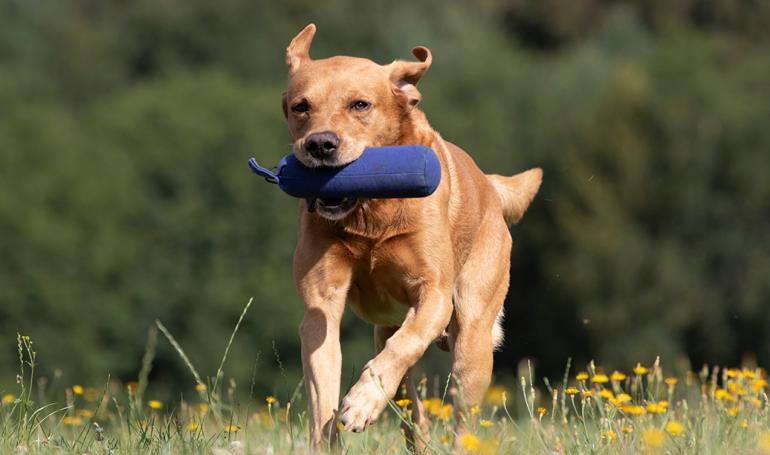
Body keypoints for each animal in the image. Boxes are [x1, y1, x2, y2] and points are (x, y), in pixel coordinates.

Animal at [280, 25, 540, 448]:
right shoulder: (321, 307)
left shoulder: (433, 293)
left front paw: (361, 403)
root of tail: (491, 185)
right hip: (385, 333)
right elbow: (322, 397)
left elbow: (406, 343)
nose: (320, 144)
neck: (370, 213)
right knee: (410, 407)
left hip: (473, 341)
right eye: (301, 106)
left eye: (360, 105)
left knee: (460, 415)